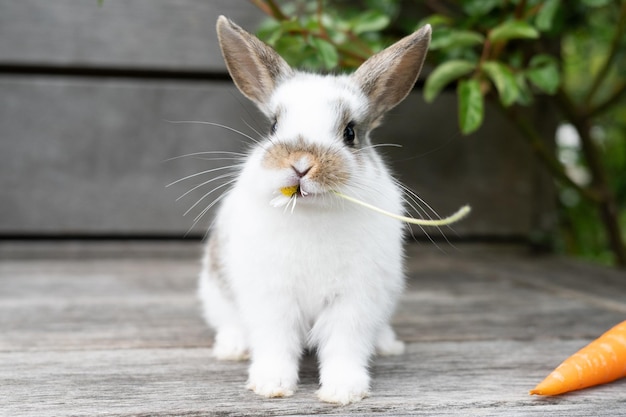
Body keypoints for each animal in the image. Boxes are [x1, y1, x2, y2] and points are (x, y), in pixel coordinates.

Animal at [199, 16, 428, 404]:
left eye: (350, 133)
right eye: (273, 126)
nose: (302, 164)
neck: (310, 212)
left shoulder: (354, 300)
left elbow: (344, 347)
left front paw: (343, 391)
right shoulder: (272, 297)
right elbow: (275, 343)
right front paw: (271, 385)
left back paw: (388, 345)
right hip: (215, 290)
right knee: (229, 321)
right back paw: (232, 347)